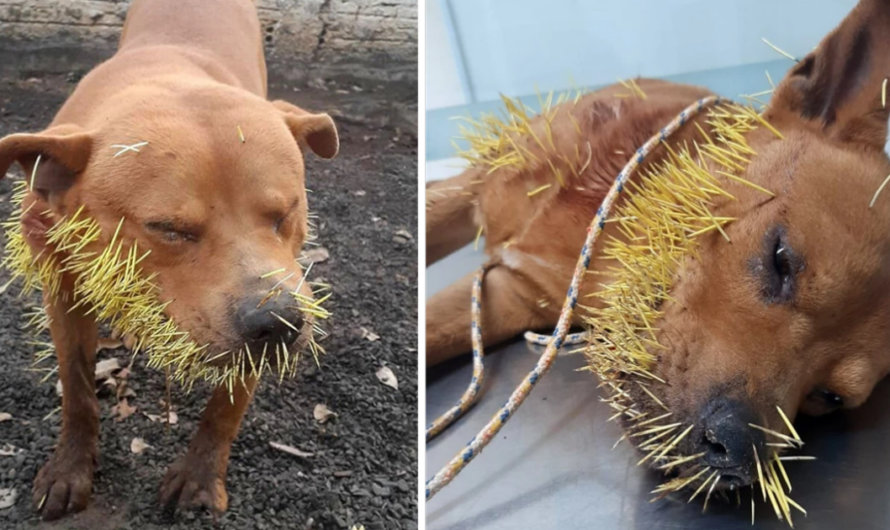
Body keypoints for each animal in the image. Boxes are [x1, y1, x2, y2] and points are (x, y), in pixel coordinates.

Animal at [0, 0, 336, 520]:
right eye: (169, 229)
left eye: (286, 213)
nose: (278, 323)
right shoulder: (63, 291)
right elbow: (76, 387)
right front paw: (69, 468)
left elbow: (226, 408)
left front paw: (200, 476)